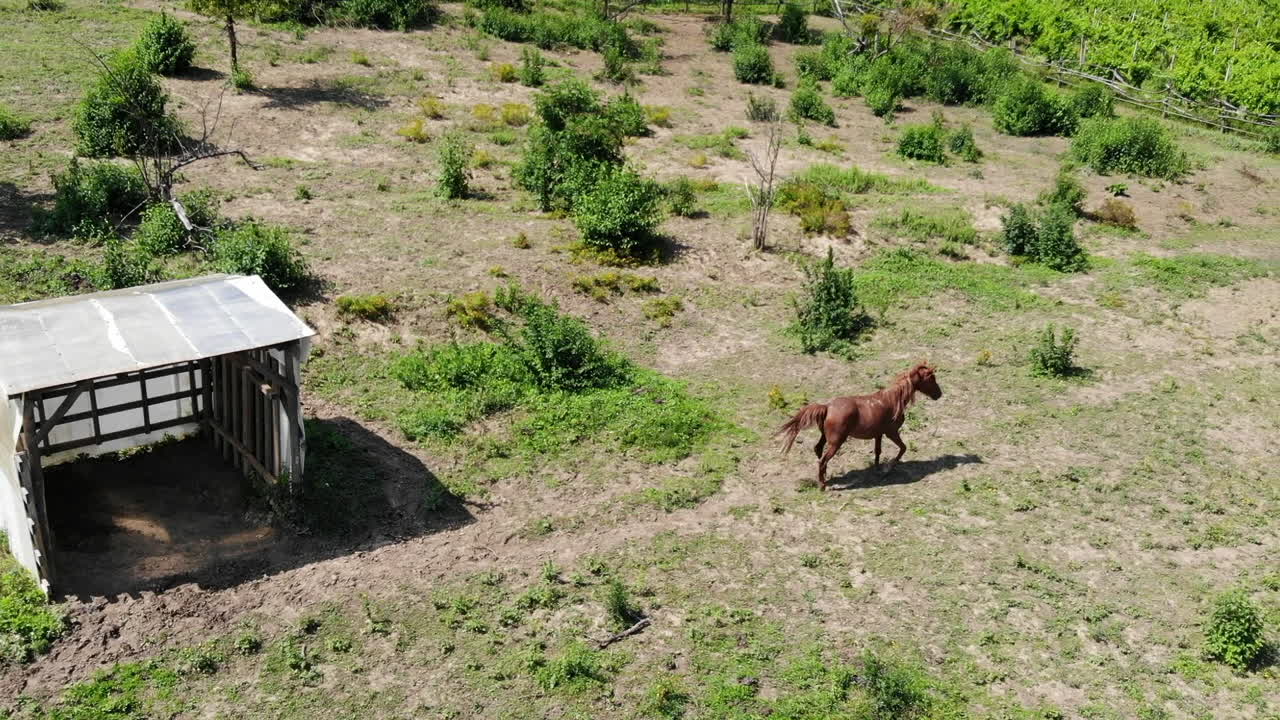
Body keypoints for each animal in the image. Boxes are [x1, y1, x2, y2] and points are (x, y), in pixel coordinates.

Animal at [775, 363, 943, 491]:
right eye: (931, 378)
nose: (939, 394)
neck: (893, 400)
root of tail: (827, 407)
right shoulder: (891, 432)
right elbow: (903, 448)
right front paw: (888, 468)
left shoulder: (879, 434)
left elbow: (878, 452)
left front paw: (877, 469)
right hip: (836, 442)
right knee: (822, 460)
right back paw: (823, 486)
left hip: (825, 438)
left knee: (818, 451)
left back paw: (824, 478)